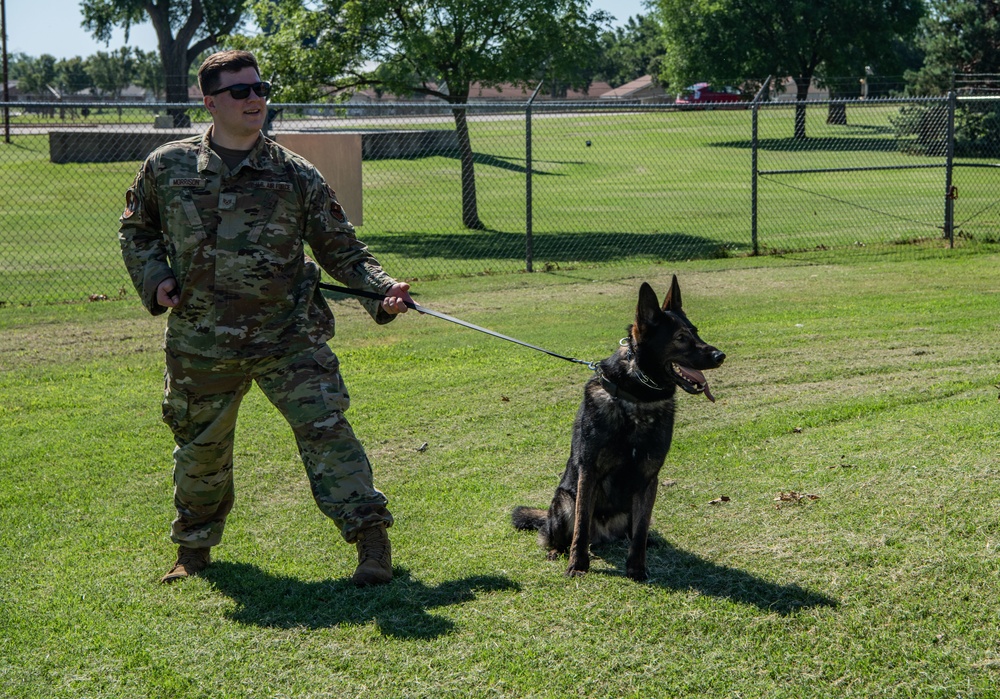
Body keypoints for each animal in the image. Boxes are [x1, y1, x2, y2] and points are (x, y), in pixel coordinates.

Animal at [512, 276, 724, 584]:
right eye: (680, 338)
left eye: (696, 332)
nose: (721, 355)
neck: (636, 399)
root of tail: (604, 536)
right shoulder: (588, 472)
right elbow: (580, 529)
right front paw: (577, 565)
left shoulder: (648, 478)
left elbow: (640, 531)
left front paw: (636, 568)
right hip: (564, 502)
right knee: (556, 533)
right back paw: (556, 550)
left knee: (635, 531)